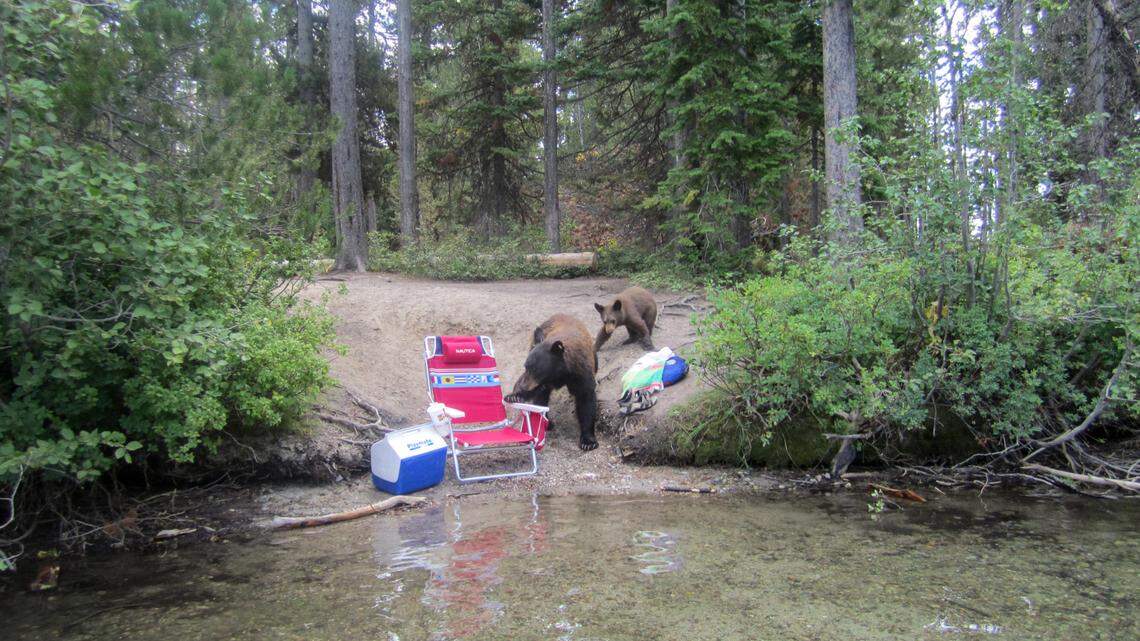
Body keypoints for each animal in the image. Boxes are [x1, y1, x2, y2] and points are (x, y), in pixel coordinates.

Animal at [504, 313, 599, 451]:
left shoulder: (580, 372)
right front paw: (514, 396)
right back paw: (547, 422)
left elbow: (586, 399)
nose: (523, 386)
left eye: (536, 369)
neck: (560, 373)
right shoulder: (540, 382)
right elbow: (537, 395)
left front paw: (588, 441)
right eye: (526, 366)